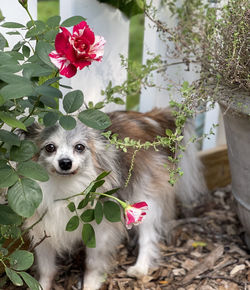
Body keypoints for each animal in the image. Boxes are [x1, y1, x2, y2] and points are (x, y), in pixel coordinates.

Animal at [22, 107, 205, 288]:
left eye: (79, 147)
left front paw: (90, 284)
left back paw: (140, 267)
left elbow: (93, 263)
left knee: (148, 235)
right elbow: (46, 268)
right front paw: (42, 285)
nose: (65, 162)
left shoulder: (100, 228)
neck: (64, 187)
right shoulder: (42, 230)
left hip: (144, 197)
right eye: (50, 148)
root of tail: (150, 118)